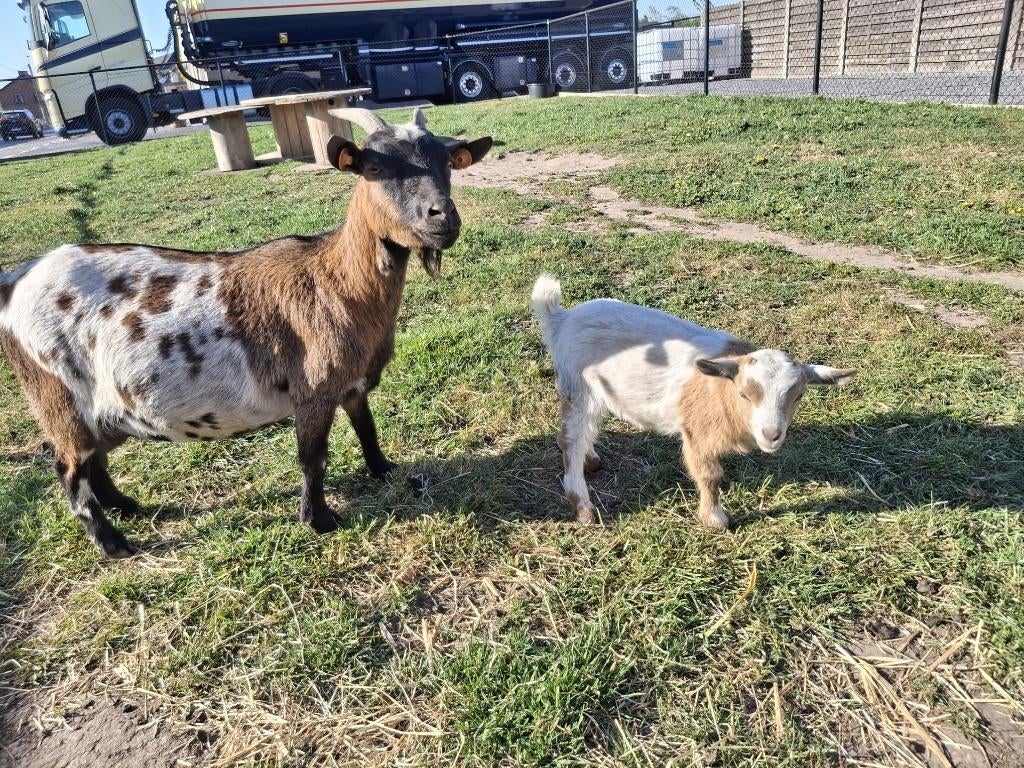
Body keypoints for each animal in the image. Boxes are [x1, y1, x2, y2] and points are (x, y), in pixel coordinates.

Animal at [0, 108, 492, 557]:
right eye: (374, 168)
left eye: (447, 163)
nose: (442, 216)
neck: (333, 279)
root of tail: (17, 282)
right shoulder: (313, 391)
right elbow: (313, 458)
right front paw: (319, 520)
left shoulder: (351, 384)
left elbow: (366, 429)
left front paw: (383, 470)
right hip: (57, 396)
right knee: (69, 468)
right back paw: (113, 543)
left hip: (101, 409)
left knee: (94, 461)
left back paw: (129, 508)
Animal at [531, 275, 857, 528]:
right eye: (744, 394)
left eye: (798, 395)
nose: (771, 435)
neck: (721, 389)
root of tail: (562, 318)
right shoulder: (696, 430)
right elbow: (710, 476)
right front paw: (715, 520)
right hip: (578, 387)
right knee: (572, 439)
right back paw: (584, 507)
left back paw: (592, 460)